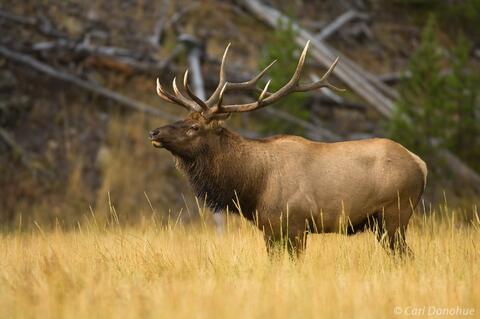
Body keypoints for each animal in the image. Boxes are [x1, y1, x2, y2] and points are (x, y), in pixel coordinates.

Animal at [150, 41, 428, 258]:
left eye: (194, 127)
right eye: (183, 118)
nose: (155, 132)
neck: (253, 186)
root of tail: (421, 164)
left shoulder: (295, 223)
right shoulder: (269, 228)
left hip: (395, 214)